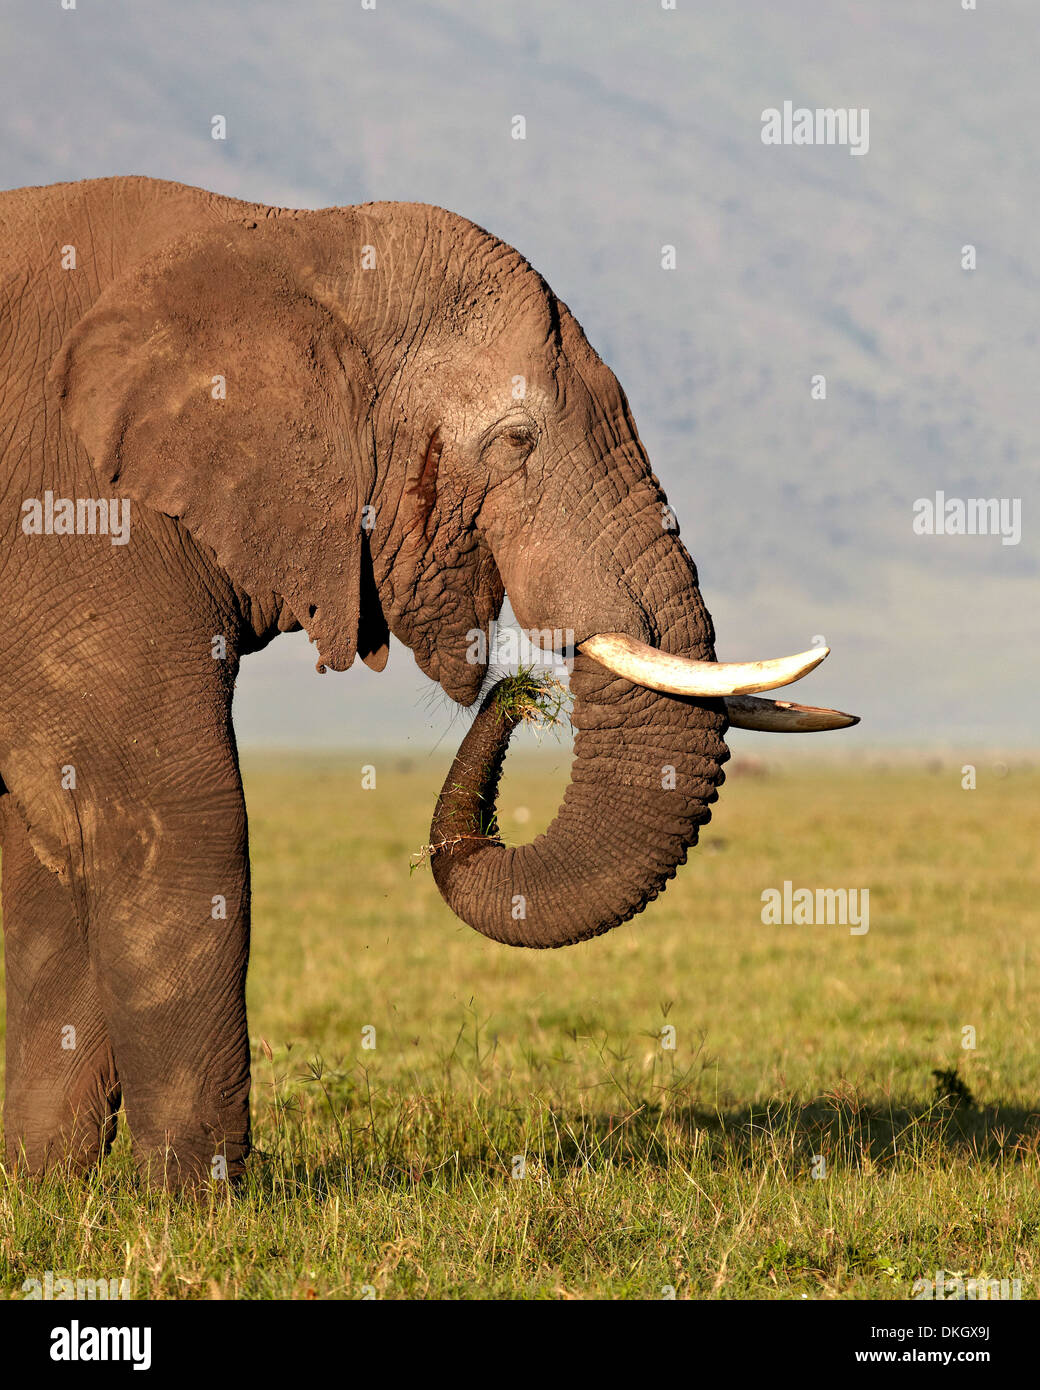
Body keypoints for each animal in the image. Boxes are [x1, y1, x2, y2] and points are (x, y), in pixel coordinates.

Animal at [0, 173, 856, 1189]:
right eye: (518, 440)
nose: (515, 693)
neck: (298, 243)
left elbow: (58, 842)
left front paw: (45, 1188)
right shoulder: (77, 520)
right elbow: (174, 815)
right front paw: (194, 1202)